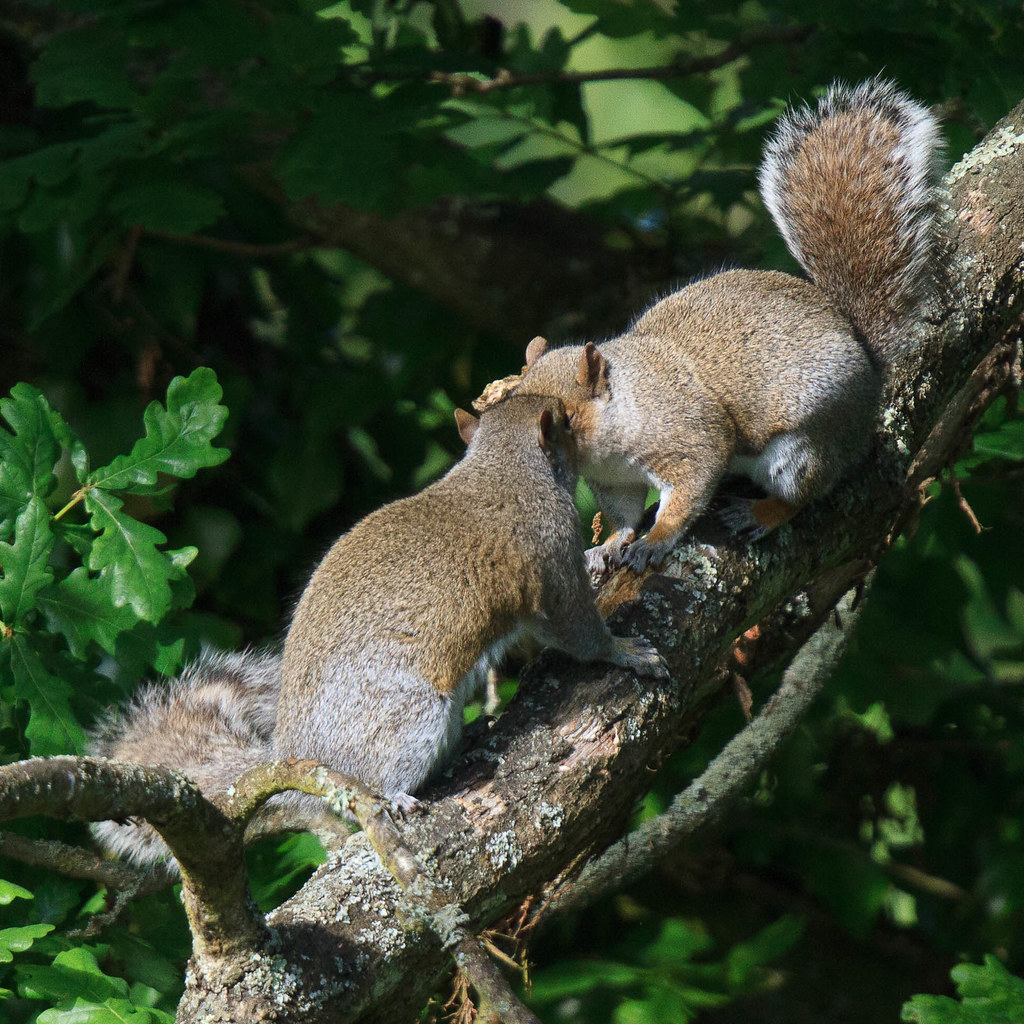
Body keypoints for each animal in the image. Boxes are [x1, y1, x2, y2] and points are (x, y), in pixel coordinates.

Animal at [89, 394, 667, 869]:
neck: (506, 467)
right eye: (563, 420)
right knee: (368, 784)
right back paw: (395, 796)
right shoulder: (550, 560)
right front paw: (626, 651)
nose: (587, 422)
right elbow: (578, 629)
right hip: (409, 717)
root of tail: (293, 757)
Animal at [483, 79, 942, 573]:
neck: (620, 418)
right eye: (511, 397)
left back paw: (761, 512)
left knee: (805, 492)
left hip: (805, 445)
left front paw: (654, 541)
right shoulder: (615, 482)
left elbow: (687, 493)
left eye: (568, 416)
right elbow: (623, 517)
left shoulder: (689, 438)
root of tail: (871, 372)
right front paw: (607, 545)